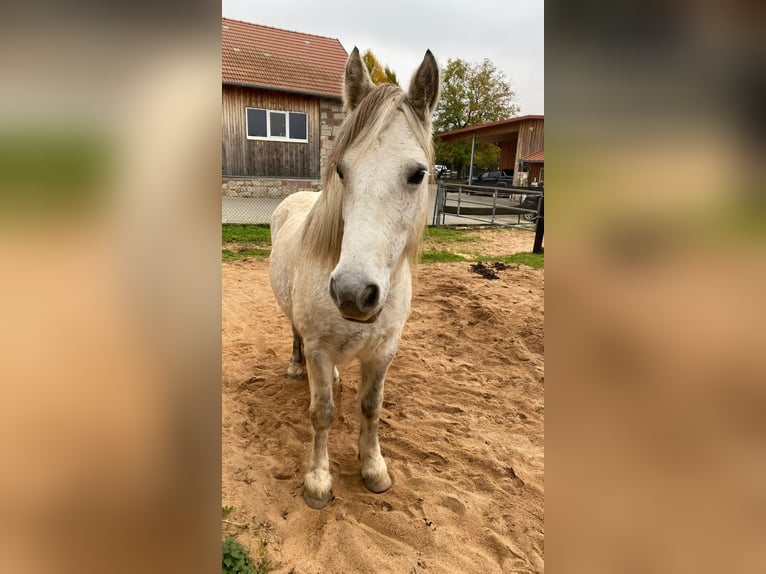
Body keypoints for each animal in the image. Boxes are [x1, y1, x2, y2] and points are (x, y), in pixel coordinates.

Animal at [268, 47, 440, 509]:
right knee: (295, 336)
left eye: (417, 173)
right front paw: (318, 481)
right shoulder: (319, 348)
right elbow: (322, 413)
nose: (351, 292)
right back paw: (296, 367)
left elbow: (371, 407)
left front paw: (373, 468)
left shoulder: (383, 353)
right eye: (342, 170)